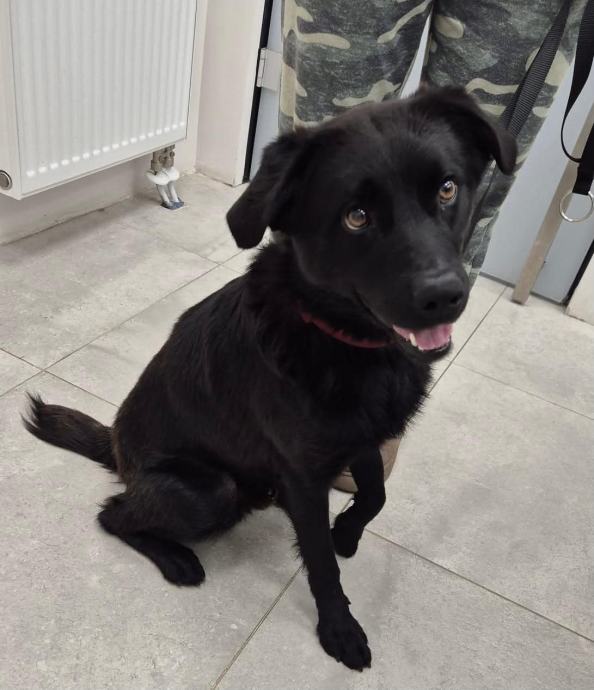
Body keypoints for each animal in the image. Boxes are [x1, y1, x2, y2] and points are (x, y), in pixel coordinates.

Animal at [24, 86, 515, 671]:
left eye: (446, 188)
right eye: (356, 217)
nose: (445, 295)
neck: (339, 338)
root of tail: (118, 450)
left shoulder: (360, 440)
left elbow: (375, 496)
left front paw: (346, 531)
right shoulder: (304, 473)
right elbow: (322, 563)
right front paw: (339, 628)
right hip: (209, 491)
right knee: (113, 515)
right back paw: (176, 559)